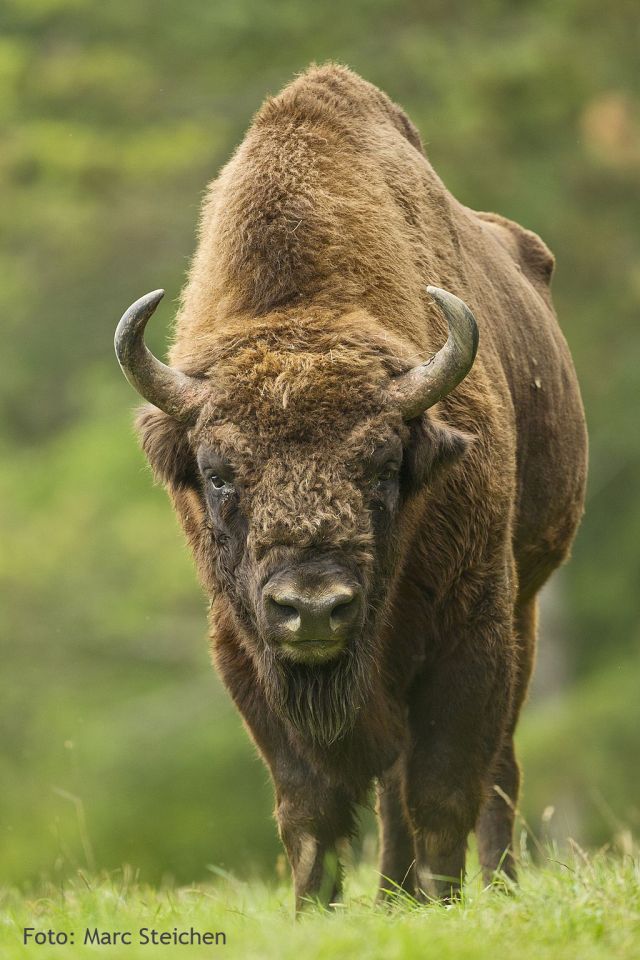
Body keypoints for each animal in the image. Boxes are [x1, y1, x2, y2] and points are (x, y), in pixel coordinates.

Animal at [114, 62, 584, 908]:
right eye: (218, 472)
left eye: (381, 465)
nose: (312, 607)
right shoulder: (245, 651)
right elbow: (314, 809)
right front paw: (314, 912)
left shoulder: (472, 628)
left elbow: (445, 789)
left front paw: (445, 904)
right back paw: (397, 892)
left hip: (528, 599)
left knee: (495, 770)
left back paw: (488, 888)